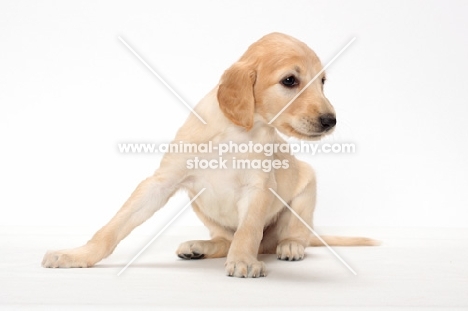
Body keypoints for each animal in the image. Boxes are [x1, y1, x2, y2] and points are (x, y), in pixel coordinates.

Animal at [42, 33, 374, 280]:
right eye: (290, 81)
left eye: (322, 82)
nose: (330, 120)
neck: (236, 134)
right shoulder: (162, 181)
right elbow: (114, 226)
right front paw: (79, 254)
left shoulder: (258, 188)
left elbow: (248, 230)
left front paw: (243, 260)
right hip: (198, 204)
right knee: (224, 240)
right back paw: (200, 246)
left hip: (307, 185)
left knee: (294, 232)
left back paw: (290, 245)